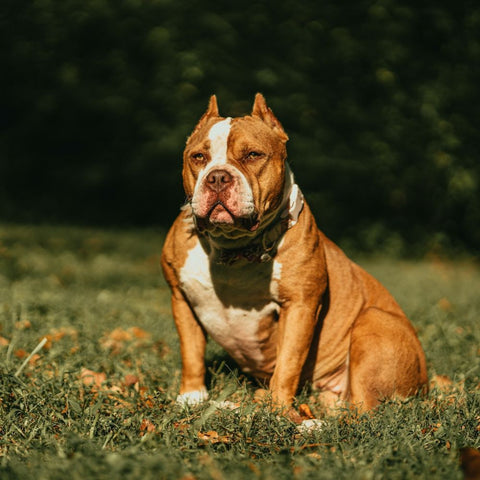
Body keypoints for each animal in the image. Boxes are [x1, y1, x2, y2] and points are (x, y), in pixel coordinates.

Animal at [161, 93, 428, 416]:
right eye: (198, 157)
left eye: (253, 155)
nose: (217, 178)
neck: (234, 247)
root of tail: (426, 381)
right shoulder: (181, 298)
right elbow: (191, 352)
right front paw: (191, 397)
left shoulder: (300, 306)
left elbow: (287, 363)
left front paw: (278, 411)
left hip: (373, 321)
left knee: (362, 412)